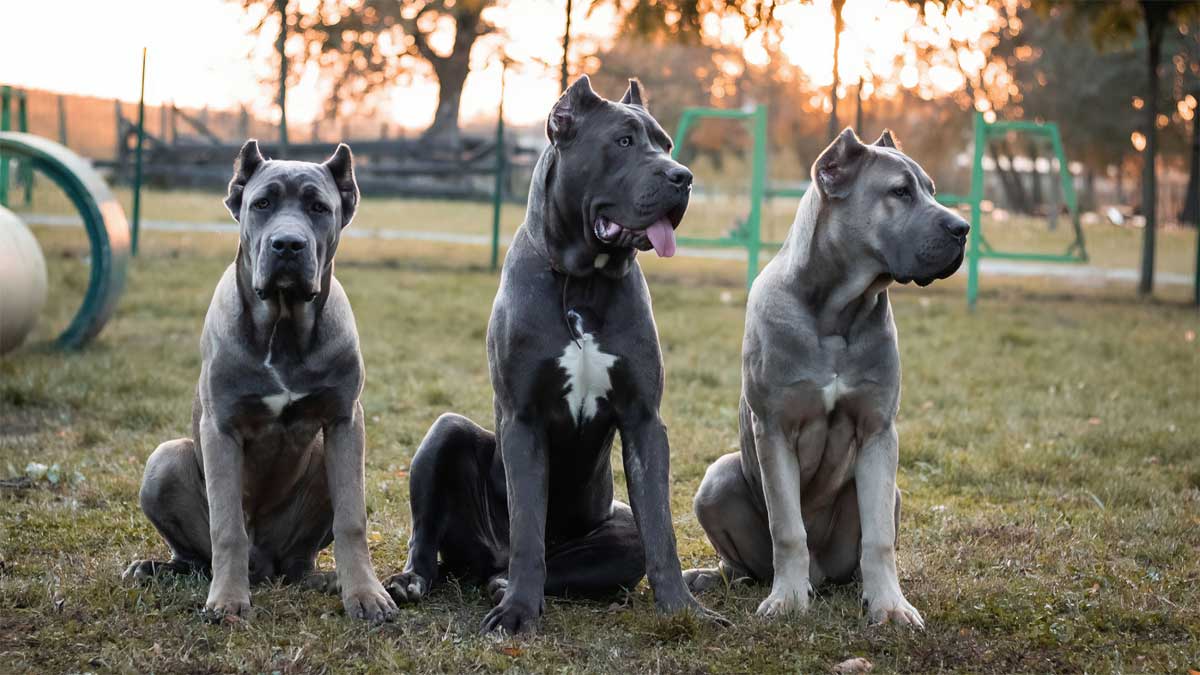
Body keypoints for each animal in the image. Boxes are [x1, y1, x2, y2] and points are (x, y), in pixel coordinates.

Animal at [125, 140, 398, 619]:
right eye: (262, 204)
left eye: (318, 207)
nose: (287, 244)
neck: (284, 327)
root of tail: (265, 567)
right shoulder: (220, 428)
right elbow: (227, 527)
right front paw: (228, 601)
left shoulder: (345, 423)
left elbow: (352, 519)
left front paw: (366, 594)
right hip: (165, 459)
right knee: (197, 555)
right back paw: (156, 569)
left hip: (321, 464)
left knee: (298, 563)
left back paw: (326, 580)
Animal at [384, 76, 720, 634]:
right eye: (624, 142)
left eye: (666, 143)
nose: (683, 177)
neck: (581, 284)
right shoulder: (523, 418)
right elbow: (526, 526)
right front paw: (518, 613)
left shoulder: (644, 420)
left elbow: (661, 532)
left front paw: (683, 610)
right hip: (444, 434)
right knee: (430, 537)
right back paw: (415, 580)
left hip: (616, 530)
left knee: (592, 556)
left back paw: (501, 584)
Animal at [681, 128, 969, 624]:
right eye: (900, 192)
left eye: (931, 189)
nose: (963, 228)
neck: (838, 310)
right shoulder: (774, 428)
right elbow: (787, 527)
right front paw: (786, 600)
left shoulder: (878, 431)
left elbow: (879, 538)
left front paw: (891, 606)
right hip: (717, 479)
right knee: (740, 566)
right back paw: (713, 577)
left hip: (891, 496)